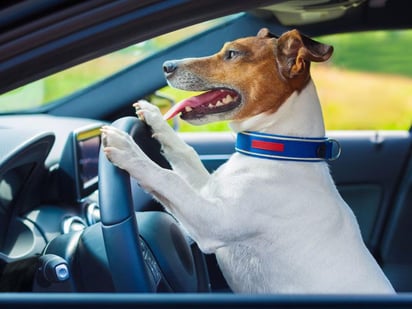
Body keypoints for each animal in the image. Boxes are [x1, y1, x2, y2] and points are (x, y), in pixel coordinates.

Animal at [100, 28, 396, 294]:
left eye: (232, 54)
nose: (166, 66)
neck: (277, 151)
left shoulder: (211, 220)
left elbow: (167, 178)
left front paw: (128, 149)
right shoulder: (208, 189)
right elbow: (185, 152)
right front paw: (154, 116)